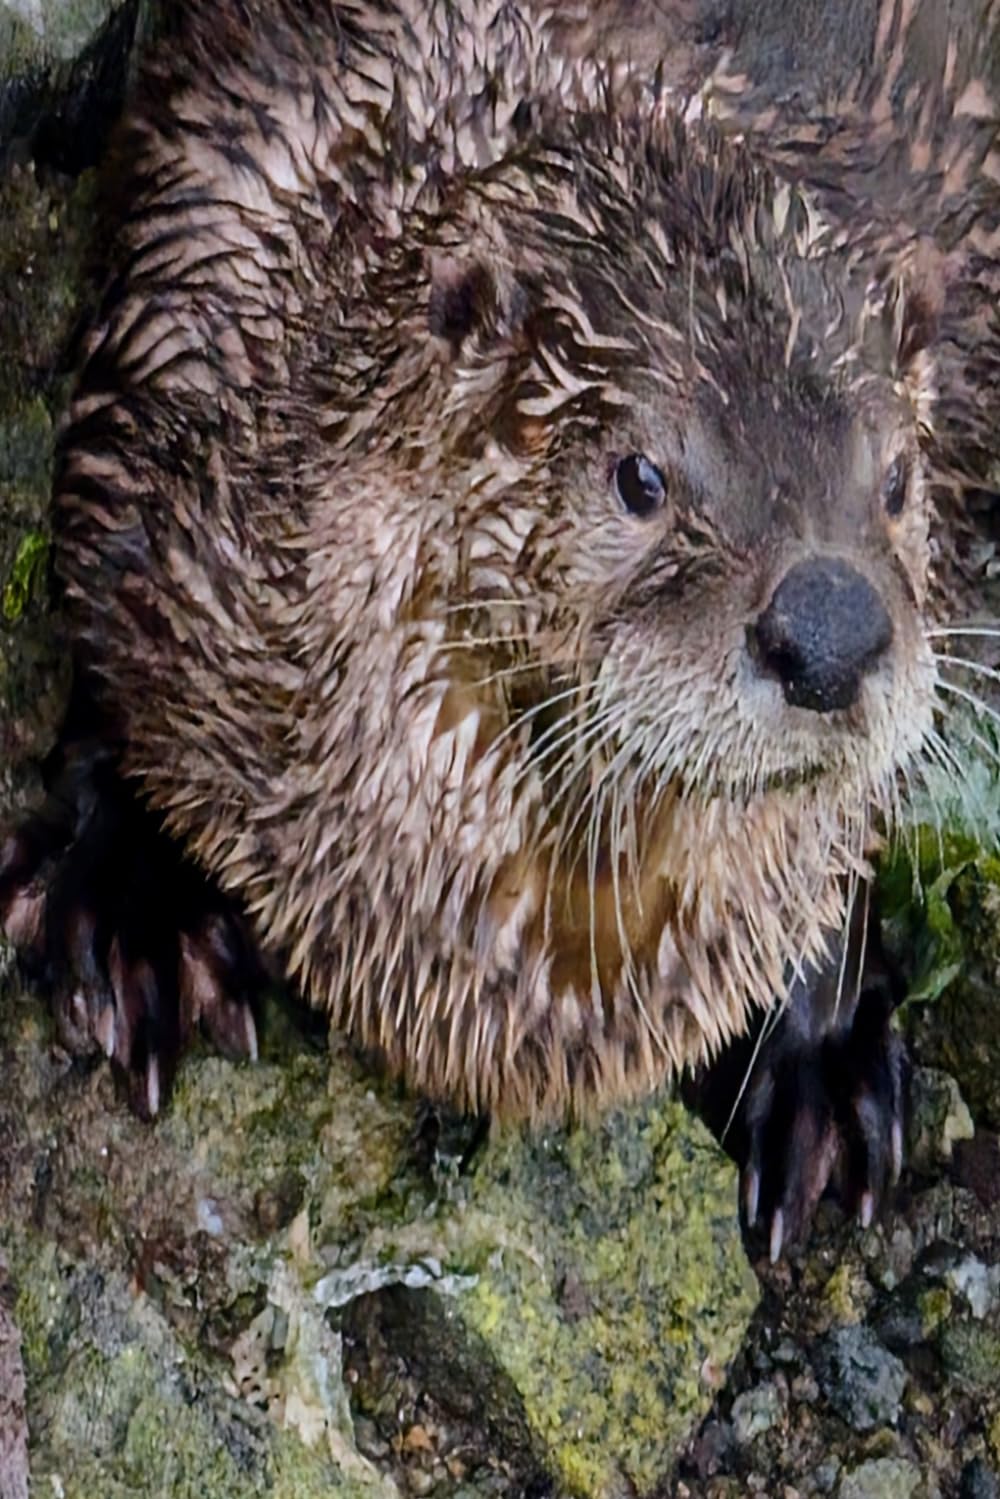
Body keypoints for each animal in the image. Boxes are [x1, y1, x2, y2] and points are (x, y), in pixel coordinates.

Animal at [1, 0, 994, 1255]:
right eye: (639, 477)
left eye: (898, 476)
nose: (828, 628)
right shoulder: (171, 330)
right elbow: (100, 642)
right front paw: (133, 907)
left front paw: (820, 1062)